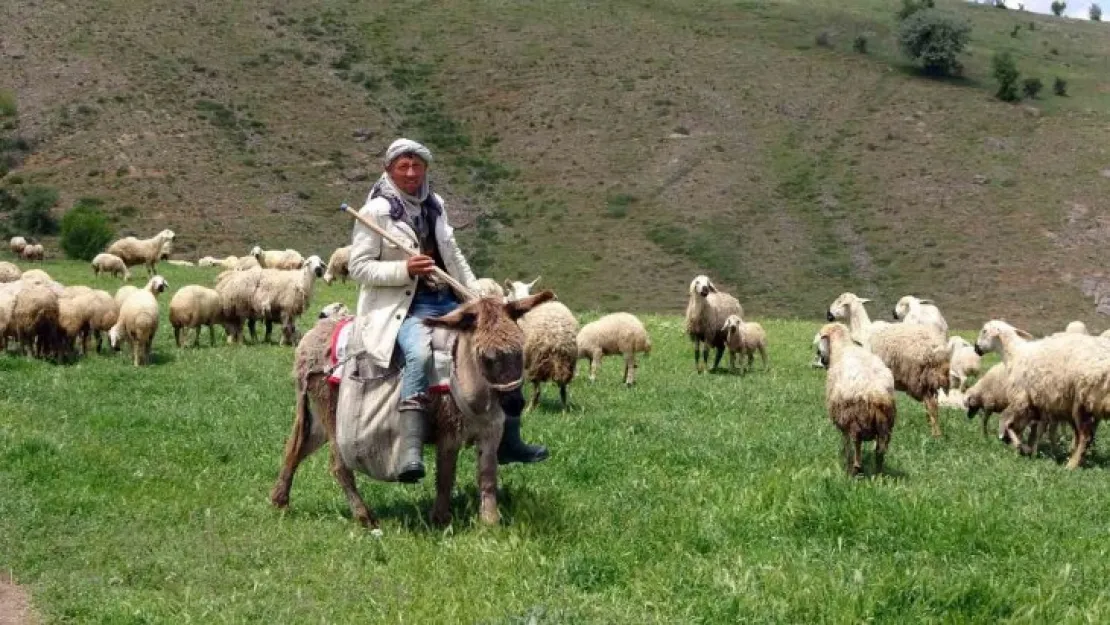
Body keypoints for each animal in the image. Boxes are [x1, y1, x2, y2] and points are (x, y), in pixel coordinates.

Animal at [816, 326, 892, 477]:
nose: (822, 359)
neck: (843, 346)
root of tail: (876, 394)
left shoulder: (842, 421)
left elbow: (846, 444)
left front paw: (846, 463)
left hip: (853, 419)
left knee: (856, 443)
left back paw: (855, 470)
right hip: (885, 426)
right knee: (880, 451)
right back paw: (878, 474)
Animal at [830, 293, 950, 435]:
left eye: (840, 302)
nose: (828, 315)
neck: (863, 330)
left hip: (918, 376)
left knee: (931, 404)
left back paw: (934, 433)